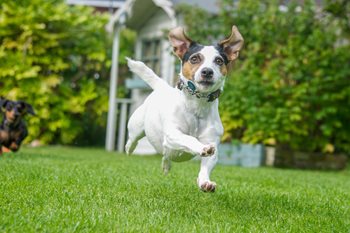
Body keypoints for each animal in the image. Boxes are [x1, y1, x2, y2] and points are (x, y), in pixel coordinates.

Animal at [126, 26, 243, 192]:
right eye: (194, 58)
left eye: (219, 61)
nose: (207, 71)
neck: (198, 104)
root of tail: (163, 88)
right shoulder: (173, 134)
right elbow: (189, 138)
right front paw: (201, 147)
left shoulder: (212, 143)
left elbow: (207, 164)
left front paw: (205, 182)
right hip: (137, 128)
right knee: (132, 140)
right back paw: (129, 148)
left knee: (166, 155)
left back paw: (166, 165)